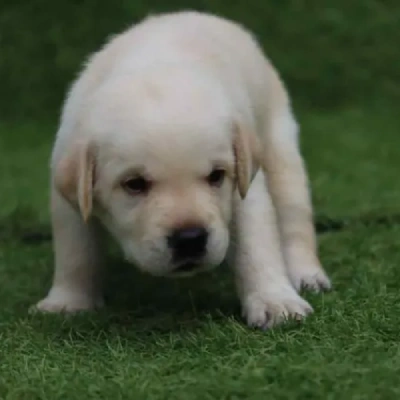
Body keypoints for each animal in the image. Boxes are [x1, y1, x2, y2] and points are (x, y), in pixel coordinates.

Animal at [32, 10, 330, 330]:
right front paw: (68, 302)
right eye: (134, 184)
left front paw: (275, 301)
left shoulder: (246, 188)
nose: (190, 239)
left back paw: (306, 274)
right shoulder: (68, 193)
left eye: (216, 176)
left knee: (293, 219)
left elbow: (257, 245)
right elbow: (75, 251)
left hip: (279, 149)